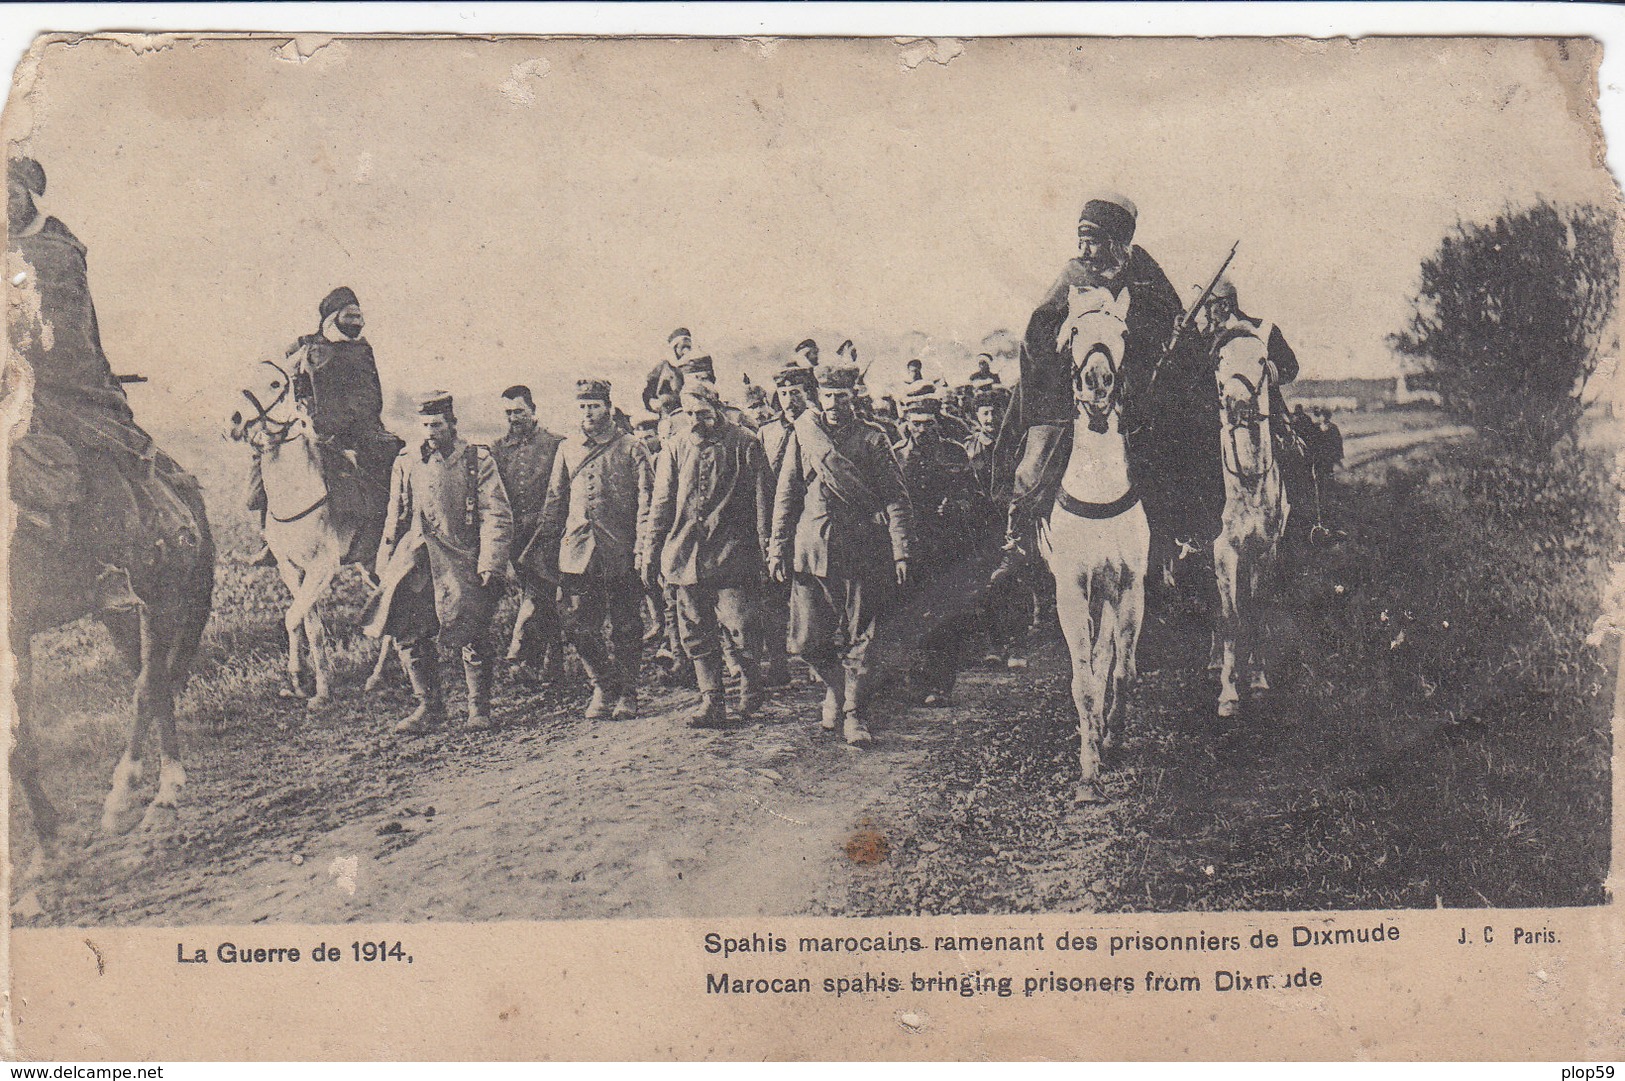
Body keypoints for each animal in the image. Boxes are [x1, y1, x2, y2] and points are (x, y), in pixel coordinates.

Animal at [229, 355, 352, 708]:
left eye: (275, 383)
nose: (236, 419)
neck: (298, 489)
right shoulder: (291, 568)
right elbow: (308, 625)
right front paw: (314, 685)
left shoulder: (322, 567)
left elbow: (293, 618)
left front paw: (303, 680)